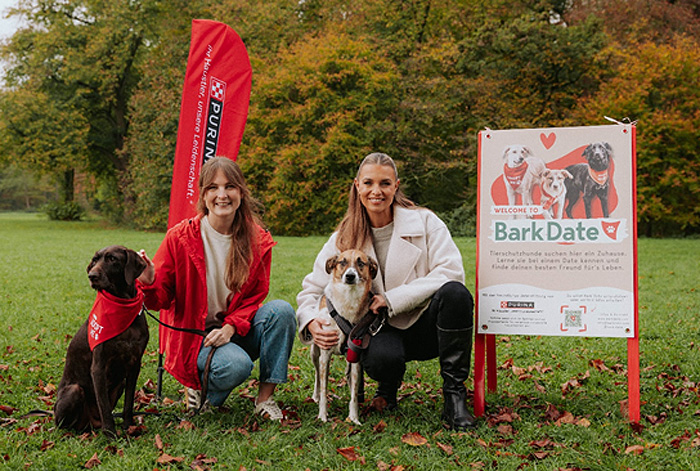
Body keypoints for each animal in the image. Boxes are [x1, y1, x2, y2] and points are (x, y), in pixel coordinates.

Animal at [54, 247, 148, 438]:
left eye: (112, 259)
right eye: (94, 260)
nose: (92, 275)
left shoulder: (134, 364)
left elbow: (128, 403)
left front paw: (128, 426)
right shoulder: (98, 367)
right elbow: (104, 406)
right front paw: (111, 434)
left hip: (119, 383)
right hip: (74, 391)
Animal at [312, 251, 378, 428]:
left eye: (361, 263)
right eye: (342, 262)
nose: (350, 276)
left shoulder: (356, 358)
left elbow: (354, 394)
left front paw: (354, 418)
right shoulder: (325, 354)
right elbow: (324, 388)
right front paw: (322, 416)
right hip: (315, 353)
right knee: (317, 376)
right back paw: (315, 395)